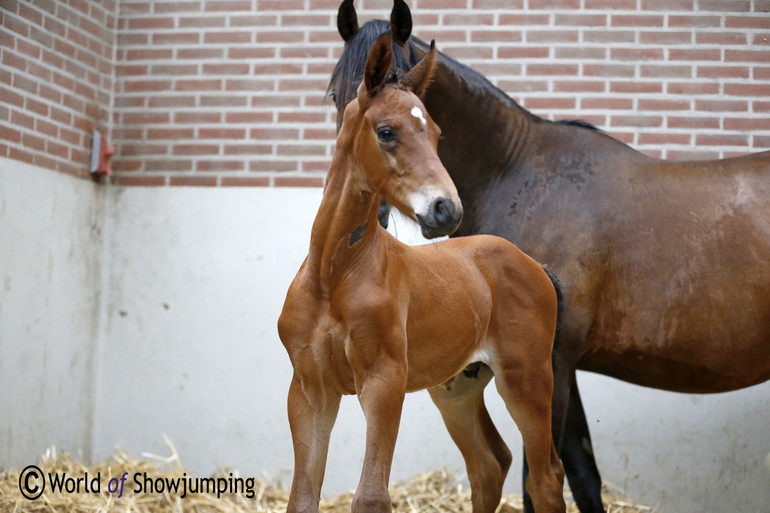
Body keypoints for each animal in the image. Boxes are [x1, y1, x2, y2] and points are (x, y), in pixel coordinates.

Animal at [276, 35, 564, 512]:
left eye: (436, 133)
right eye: (386, 131)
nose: (446, 209)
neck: (334, 276)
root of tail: (533, 265)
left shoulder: (383, 384)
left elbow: (371, 497)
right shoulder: (309, 391)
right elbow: (302, 498)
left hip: (527, 380)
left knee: (546, 479)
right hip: (456, 390)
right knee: (490, 463)